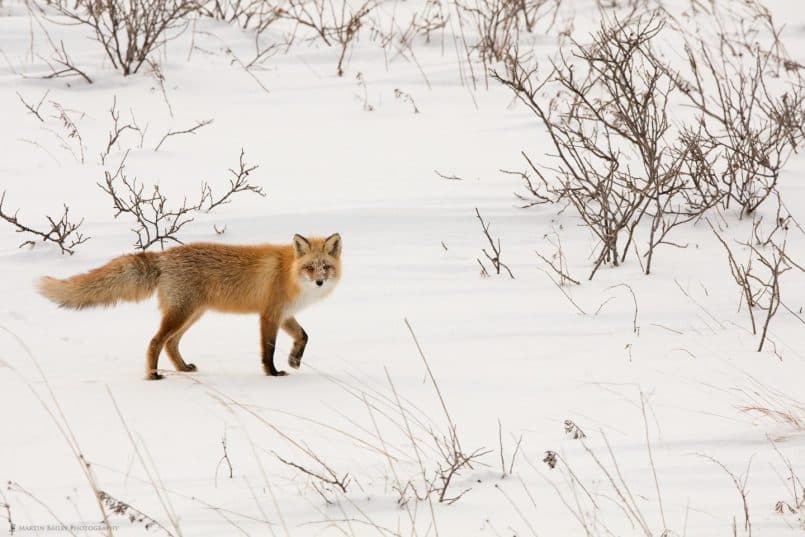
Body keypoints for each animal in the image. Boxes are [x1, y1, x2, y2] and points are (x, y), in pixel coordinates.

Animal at [38, 232, 340, 378]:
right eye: (309, 267)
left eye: (325, 267)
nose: (319, 282)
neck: (288, 272)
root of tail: (163, 256)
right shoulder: (268, 315)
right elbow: (268, 350)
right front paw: (273, 373)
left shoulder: (284, 315)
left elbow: (304, 336)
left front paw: (294, 360)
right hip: (182, 314)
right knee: (155, 342)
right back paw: (153, 376)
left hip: (193, 314)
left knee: (170, 344)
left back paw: (183, 369)